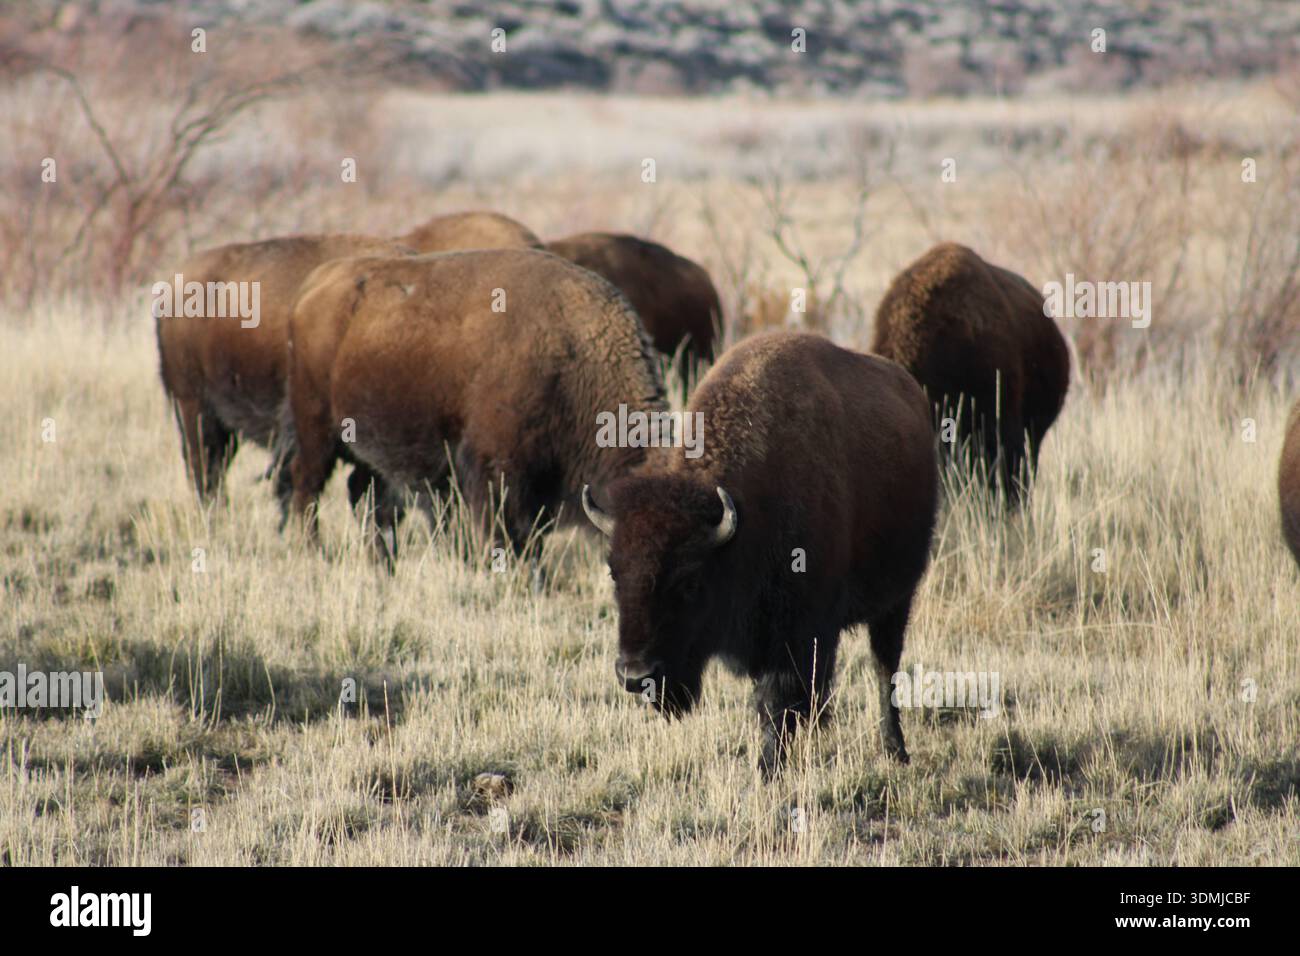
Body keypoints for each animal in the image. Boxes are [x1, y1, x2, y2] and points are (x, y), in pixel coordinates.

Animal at [286, 248, 667, 560]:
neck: (574, 356)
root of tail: (314, 284)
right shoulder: (498, 472)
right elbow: (511, 537)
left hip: (373, 448)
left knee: (366, 498)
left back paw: (383, 565)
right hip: (317, 431)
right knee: (307, 486)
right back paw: (314, 554)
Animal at [582, 331, 937, 774]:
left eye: (689, 581)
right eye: (615, 573)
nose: (635, 674)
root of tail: (910, 390)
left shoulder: (795, 631)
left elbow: (775, 700)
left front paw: (768, 769)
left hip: (897, 599)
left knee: (882, 665)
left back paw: (895, 750)